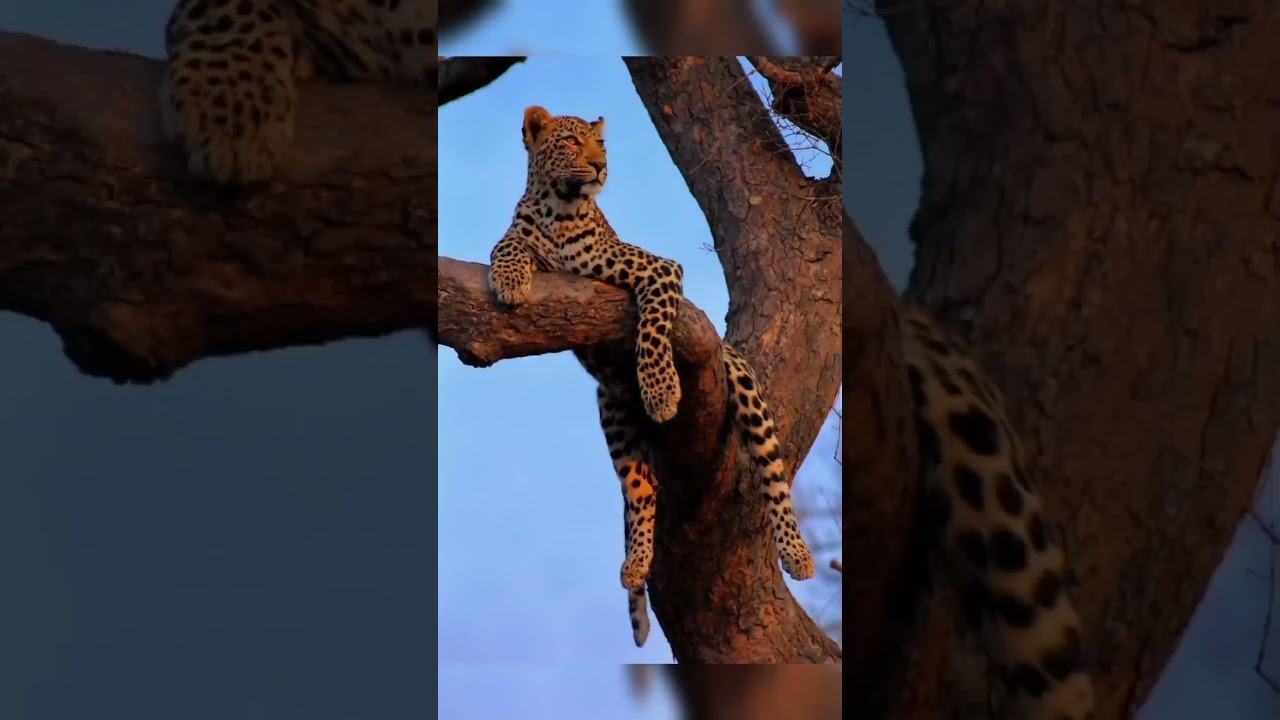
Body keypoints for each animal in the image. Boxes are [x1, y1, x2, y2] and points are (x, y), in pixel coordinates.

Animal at [486, 106, 817, 647]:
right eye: (572, 143)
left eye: (601, 145)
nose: (600, 168)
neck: (560, 205)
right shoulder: (519, 237)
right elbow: (506, 246)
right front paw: (512, 280)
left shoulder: (659, 269)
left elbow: (655, 325)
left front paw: (661, 390)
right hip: (616, 419)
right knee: (642, 490)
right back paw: (636, 563)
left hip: (746, 392)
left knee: (775, 476)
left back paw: (798, 554)